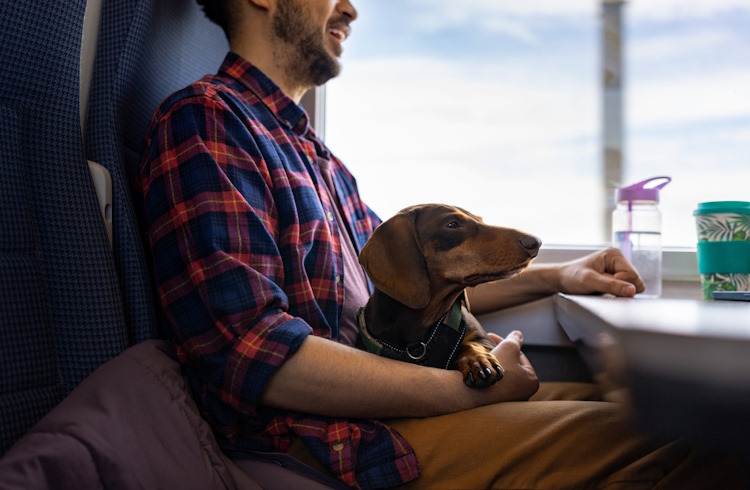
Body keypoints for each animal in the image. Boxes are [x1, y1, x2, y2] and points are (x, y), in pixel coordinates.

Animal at [356, 202, 540, 386]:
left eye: (480, 220)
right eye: (452, 224)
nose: (536, 242)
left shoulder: (484, 339)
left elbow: (471, 343)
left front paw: (478, 360)